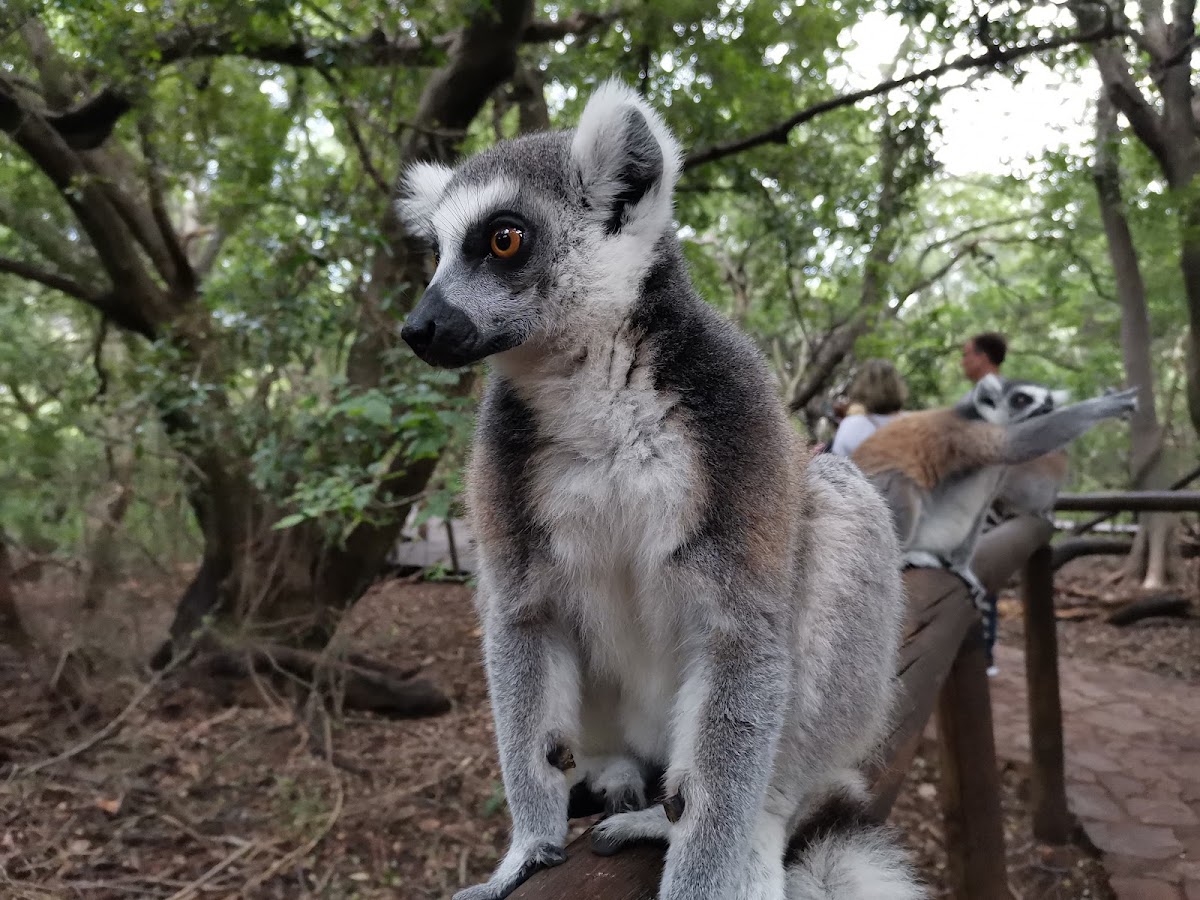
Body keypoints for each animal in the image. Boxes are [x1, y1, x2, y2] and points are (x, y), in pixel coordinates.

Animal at [396, 80, 923, 900]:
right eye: (437, 251)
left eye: (505, 239)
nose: (418, 327)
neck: (589, 380)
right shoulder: (505, 463)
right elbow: (523, 616)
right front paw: (526, 849)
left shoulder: (737, 422)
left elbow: (744, 632)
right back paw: (616, 774)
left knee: (839, 503)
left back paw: (744, 822)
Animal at [851, 373, 1136, 607]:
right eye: (1021, 399)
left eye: (1048, 402)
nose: (1046, 409)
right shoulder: (965, 434)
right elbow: (1017, 443)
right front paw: (1110, 403)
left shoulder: (998, 472)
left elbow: (984, 506)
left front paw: (962, 569)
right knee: (899, 482)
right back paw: (901, 556)